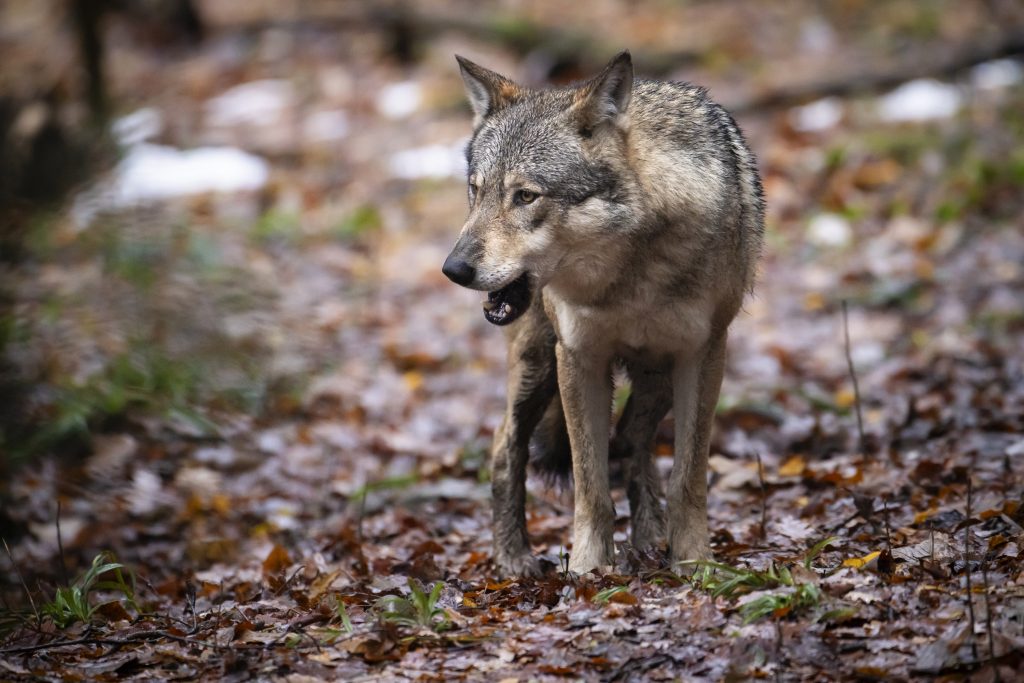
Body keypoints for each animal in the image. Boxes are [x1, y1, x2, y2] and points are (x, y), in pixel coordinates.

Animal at [444, 49, 765, 577]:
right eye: (476, 191)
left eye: (525, 196)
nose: (453, 269)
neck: (628, 277)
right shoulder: (578, 357)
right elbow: (590, 484)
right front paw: (588, 571)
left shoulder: (702, 355)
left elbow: (688, 477)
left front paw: (693, 562)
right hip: (538, 365)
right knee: (504, 446)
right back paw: (513, 558)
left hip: (656, 379)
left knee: (632, 440)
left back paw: (650, 536)